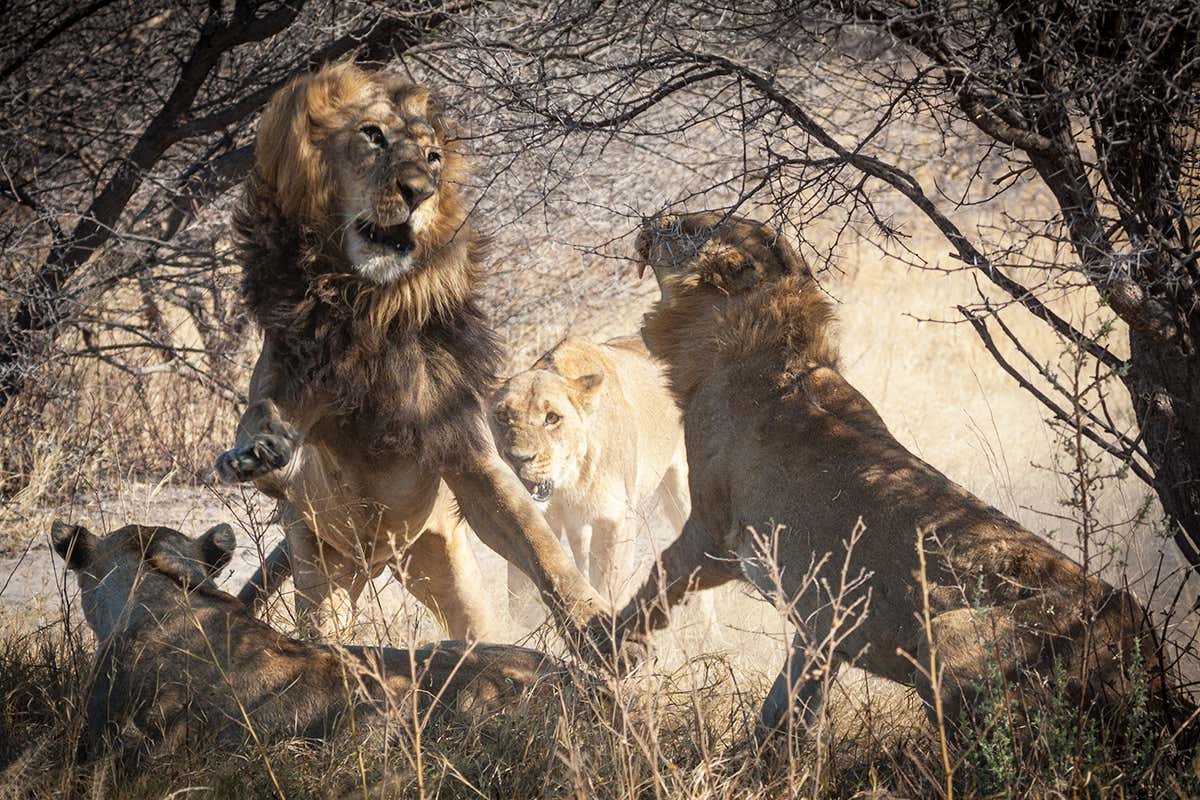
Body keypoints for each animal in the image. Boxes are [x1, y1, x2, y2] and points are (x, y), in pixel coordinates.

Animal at [214, 63, 606, 640]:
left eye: (433, 158)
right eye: (372, 136)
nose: (418, 191)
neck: (370, 306)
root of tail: (376, 563)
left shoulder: (465, 450)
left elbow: (539, 542)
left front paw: (597, 626)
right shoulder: (290, 376)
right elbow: (264, 412)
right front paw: (261, 448)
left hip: (443, 568)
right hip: (320, 567)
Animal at [490, 336, 699, 618]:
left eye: (552, 418)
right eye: (502, 416)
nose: (516, 459)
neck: (568, 484)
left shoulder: (616, 520)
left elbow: (608, 588)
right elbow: (522, 595)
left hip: (681, 490)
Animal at [597, 211, 1166, 733]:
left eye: (688, 227)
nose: (652, 218)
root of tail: (1140, 646)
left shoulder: (715, 532)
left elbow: (657, 584)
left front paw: (608, 649)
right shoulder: (821, 626)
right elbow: (784, 708)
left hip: (948, 640)